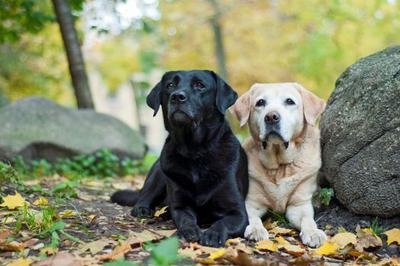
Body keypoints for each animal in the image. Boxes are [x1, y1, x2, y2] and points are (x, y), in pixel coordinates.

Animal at [111, 70, 248, 247]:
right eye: (170, 85)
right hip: (159, 172)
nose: (177, 97)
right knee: (144, 197)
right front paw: (189, 230)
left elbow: (223, 222)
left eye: (200, 85)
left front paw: (213, 234)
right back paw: (144, 209)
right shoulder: (180, 205)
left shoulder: (239, 213)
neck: (196, 151)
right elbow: (186, 219)